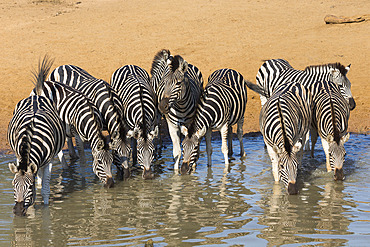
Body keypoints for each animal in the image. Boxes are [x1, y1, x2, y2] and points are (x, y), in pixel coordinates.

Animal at [32, 56, 115, 187]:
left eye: (111, 161)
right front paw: (83, 182)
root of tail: (43, 84)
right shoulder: (78, 136)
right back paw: (65, 167)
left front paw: (95, 180)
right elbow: (83, 161)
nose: (111, 184)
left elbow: (92, 156)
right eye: (100, 162)